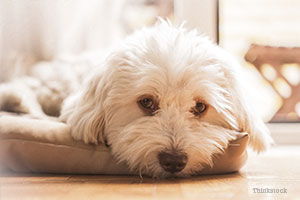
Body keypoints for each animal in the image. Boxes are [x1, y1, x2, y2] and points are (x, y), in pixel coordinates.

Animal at [0, 20, 272, 178]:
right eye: (147, 102)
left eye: (200, 107)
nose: (174, 161)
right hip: (56, 83)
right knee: (21, 87)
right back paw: (25, 106)